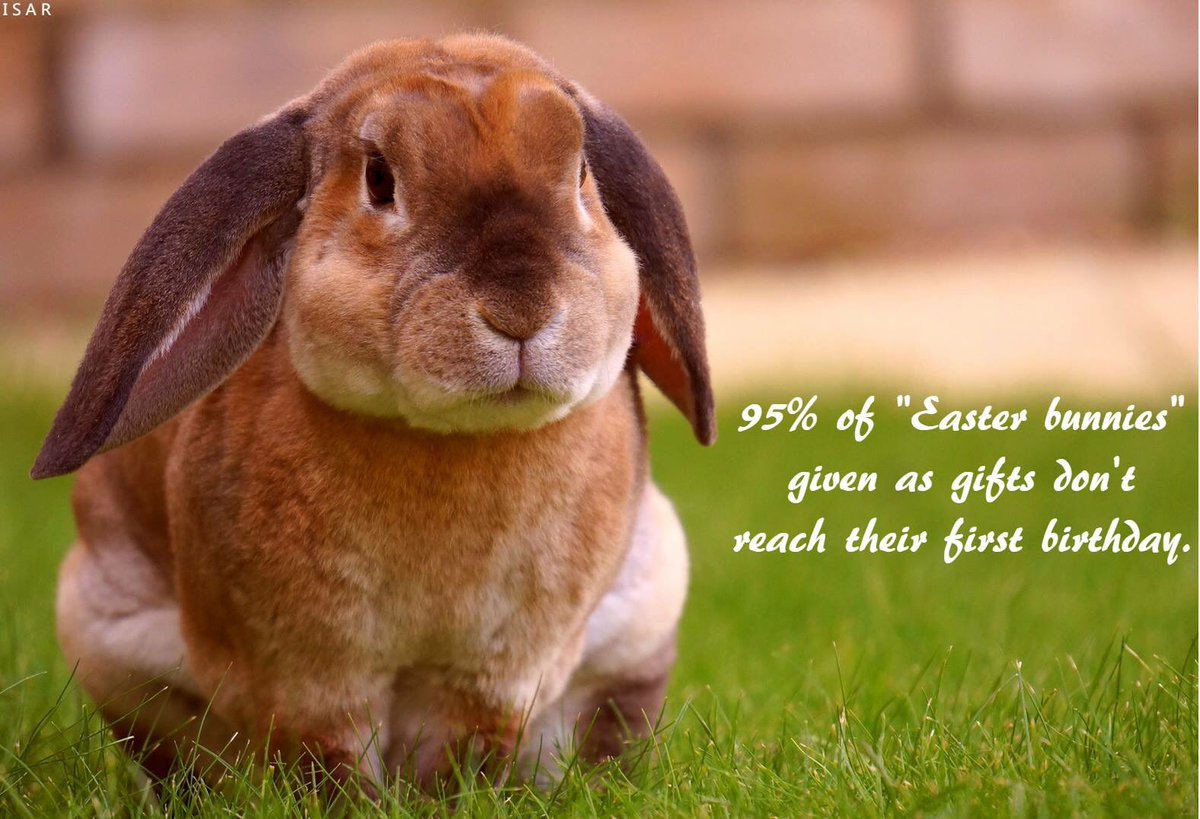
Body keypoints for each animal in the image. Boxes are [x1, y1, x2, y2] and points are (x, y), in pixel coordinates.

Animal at [32, 33, 714, 793]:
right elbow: (327, 760)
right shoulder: (308, 676)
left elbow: (463, 753)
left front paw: (450, 800)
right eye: (380, 180)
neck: (450, 441)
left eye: (582, 174)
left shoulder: (493, 676)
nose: (522, 310)